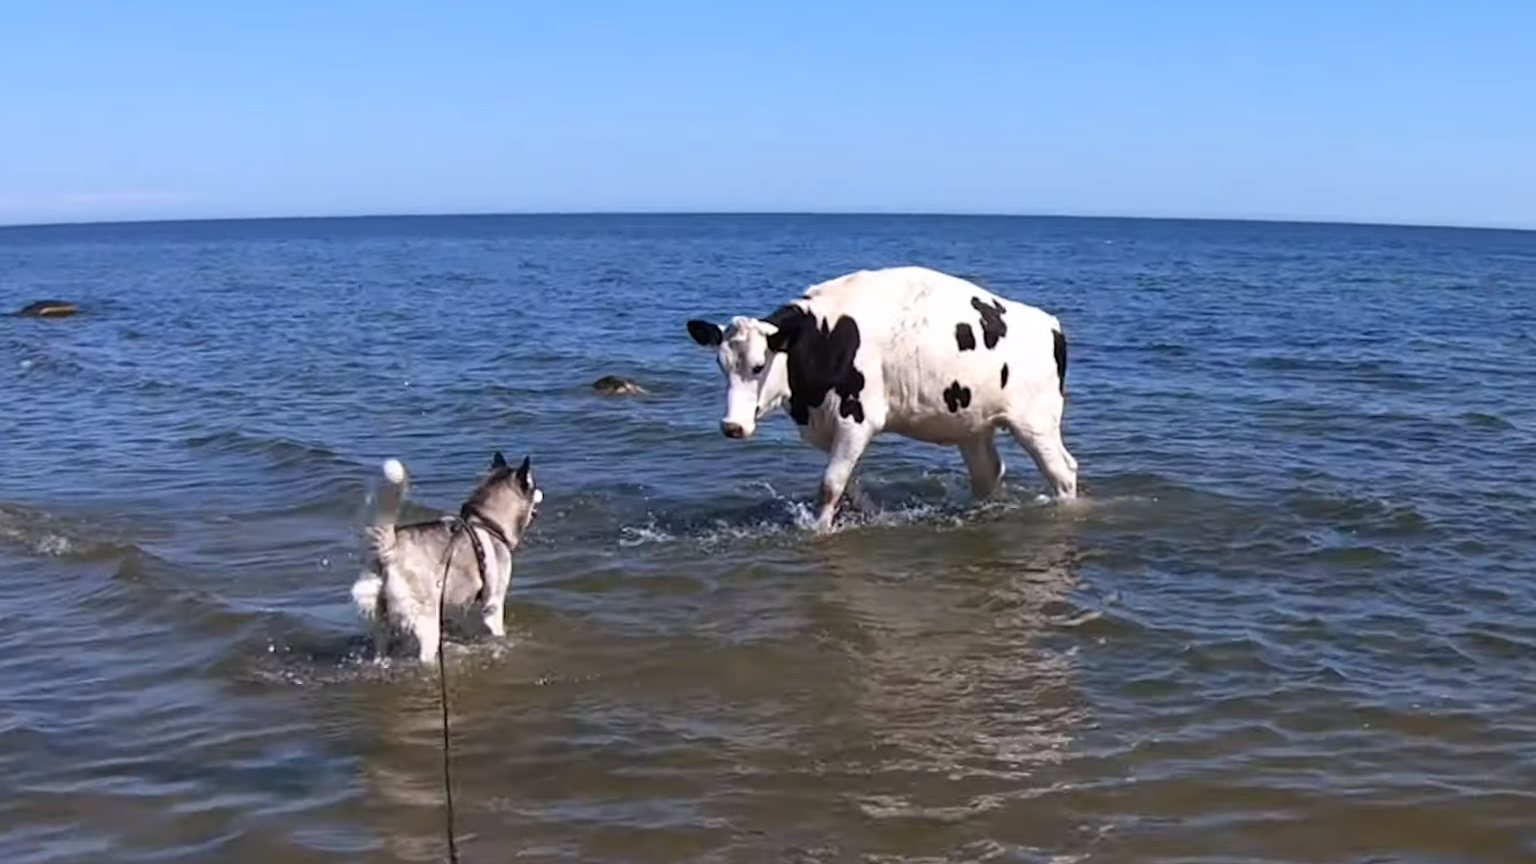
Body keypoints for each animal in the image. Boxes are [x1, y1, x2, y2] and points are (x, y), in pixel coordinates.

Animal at [351, 445, 543, 661]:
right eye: (533, 485)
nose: (542, 492)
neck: (487, 522)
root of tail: (389, 550)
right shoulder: (493, 604)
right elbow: (497, 631)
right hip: (428, 624)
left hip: (381, 626)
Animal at [688, 264, 1081, 531]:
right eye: (721, 365)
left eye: (758, 366)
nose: (732, 426)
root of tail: (1049, 323)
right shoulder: (831, 428)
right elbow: (847, 484)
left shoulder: (857, 419)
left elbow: (829, 486)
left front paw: (818, 531)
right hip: (972, 426)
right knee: (989, 475)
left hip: (1036, 422)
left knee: (1063, 472)